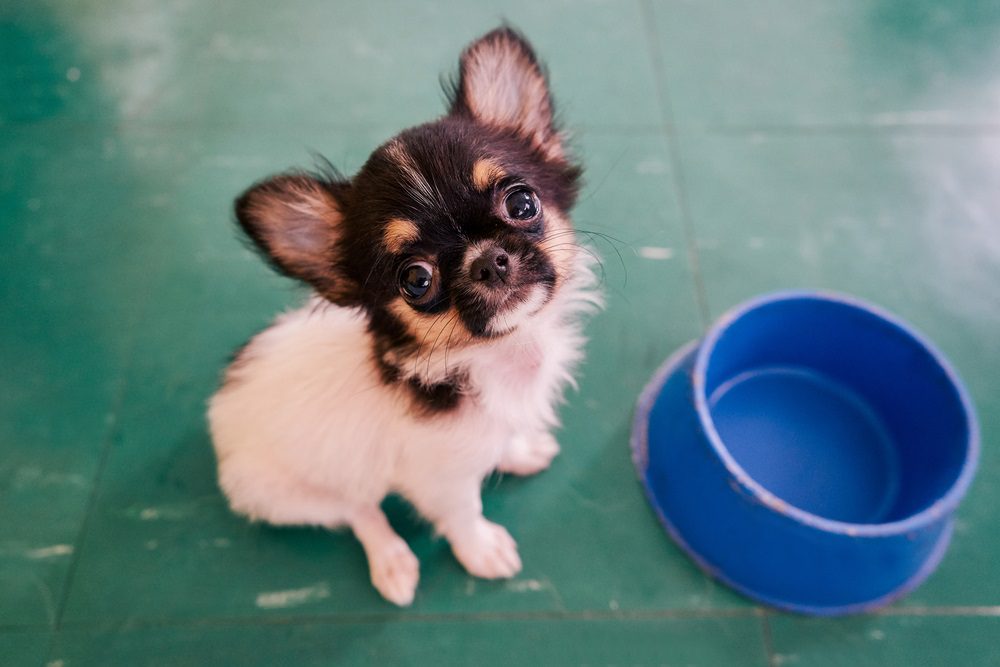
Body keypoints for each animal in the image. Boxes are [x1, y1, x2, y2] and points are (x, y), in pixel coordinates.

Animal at [208, 28, 596, 608]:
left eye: (523, 203)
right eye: (416, 281)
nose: (488, 260)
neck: (501, 355)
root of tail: (219, 411)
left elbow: (502, 437)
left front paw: (518, 449)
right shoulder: (438, 482)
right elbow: (463, 513)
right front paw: (481, 549)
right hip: (282, 493)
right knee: (358, 509)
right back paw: (391, 559)